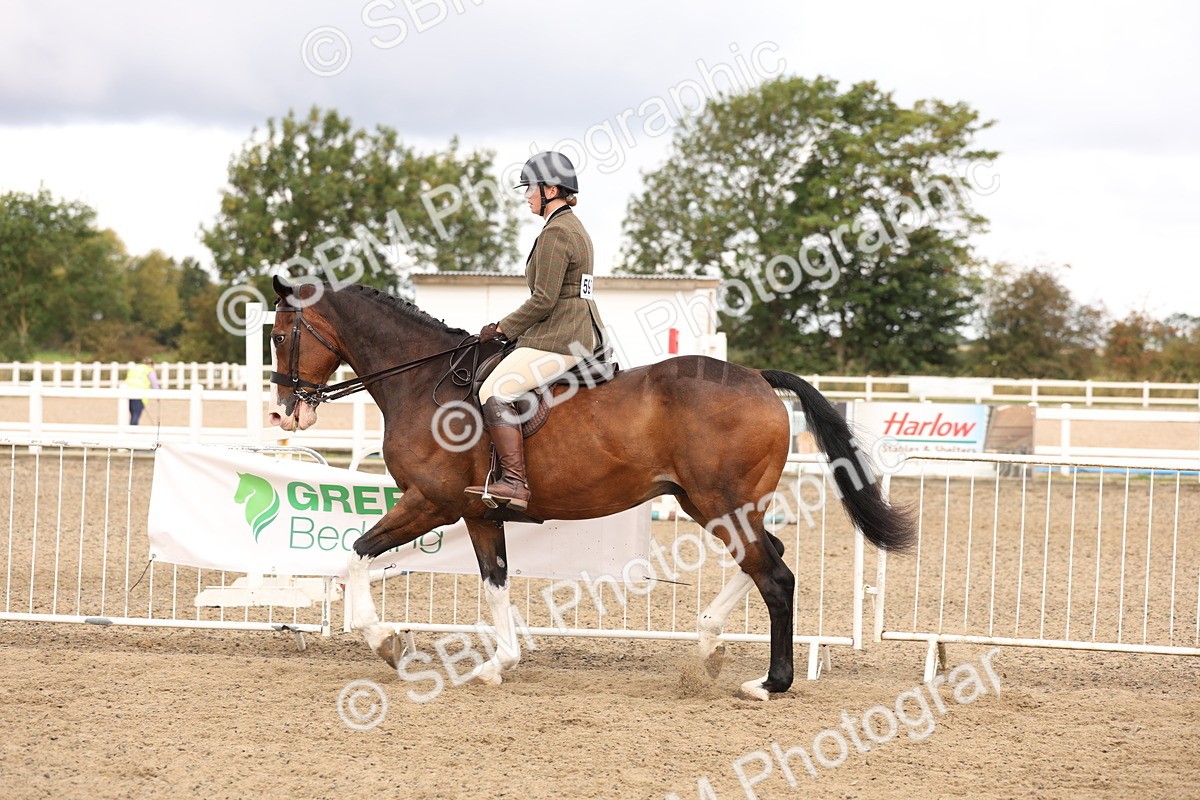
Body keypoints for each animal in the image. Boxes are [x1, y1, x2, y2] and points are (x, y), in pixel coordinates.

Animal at [266, 275, 914, 700]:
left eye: (278, 335)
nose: (282, 414)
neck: (425, 382)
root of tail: (756, 377)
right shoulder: (478, 513)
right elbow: (495, 583)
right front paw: (498, 664)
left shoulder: (430, 503)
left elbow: (354, 555)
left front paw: (385, 642)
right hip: (709, 503)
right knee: (762, 559)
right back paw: (708, 645)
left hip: (719, 500)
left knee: (773, 574)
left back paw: (770, 683)